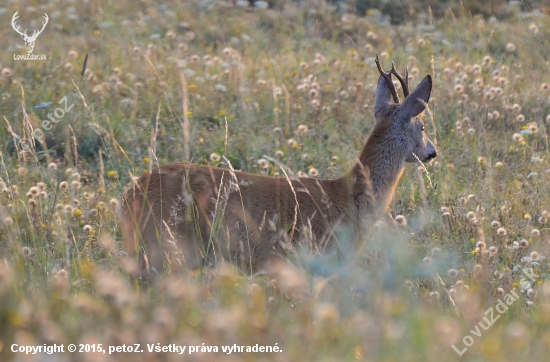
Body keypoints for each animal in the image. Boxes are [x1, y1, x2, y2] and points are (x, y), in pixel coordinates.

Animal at [122, 56, 440, 278]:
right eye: (422, 126)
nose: (432, 152)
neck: (349, 198)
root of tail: (128, 196)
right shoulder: (317, 259)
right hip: (167, 245)